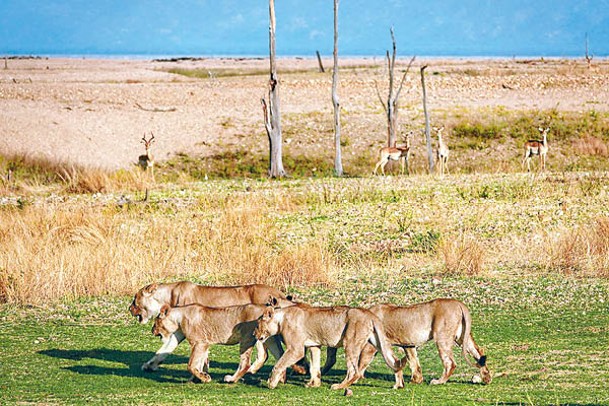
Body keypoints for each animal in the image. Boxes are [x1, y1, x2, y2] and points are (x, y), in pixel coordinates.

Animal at [129, 280, 298, 372]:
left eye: (135, 299)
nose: (129, 309)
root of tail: (279, 294)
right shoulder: (180, 331)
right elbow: (164, 349)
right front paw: (150, 365)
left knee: (266, 354)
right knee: (274, 353)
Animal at [152, 304, 284, 384]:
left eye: (156, 322)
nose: (152, 330)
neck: (179, 317)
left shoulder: (199, 343)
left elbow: (191, 365)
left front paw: (204, 378)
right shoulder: (204, 344)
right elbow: (200, 363)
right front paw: (197, 377)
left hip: (246, 339)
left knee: (245, 363)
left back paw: (231, 379)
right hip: (267, 337)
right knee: (279, 354)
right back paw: (280, 379)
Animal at [253, 304, 404, 390]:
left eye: (258, 324)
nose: (254, 334)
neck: (281, 318)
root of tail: (371, 314)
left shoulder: (296, 349)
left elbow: (278, 364)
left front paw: (271, 383)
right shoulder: (314, 345)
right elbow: (314, 367)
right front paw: (314, 384)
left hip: (350, 342)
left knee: (354, 371)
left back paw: (339, 386)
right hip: (377, 341)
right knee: (395, 361)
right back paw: (398, 385)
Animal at [324, 298, 490, 386]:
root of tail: (459, 303)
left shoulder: (371, 346)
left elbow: (361, 362)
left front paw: (354, 379)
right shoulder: (408, 343)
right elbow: (413, 361)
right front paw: (416, 380)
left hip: (442, 336)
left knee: (451, 363)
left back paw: (438, 381)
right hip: (462, 337)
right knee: (479, 354)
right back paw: (486, 378)